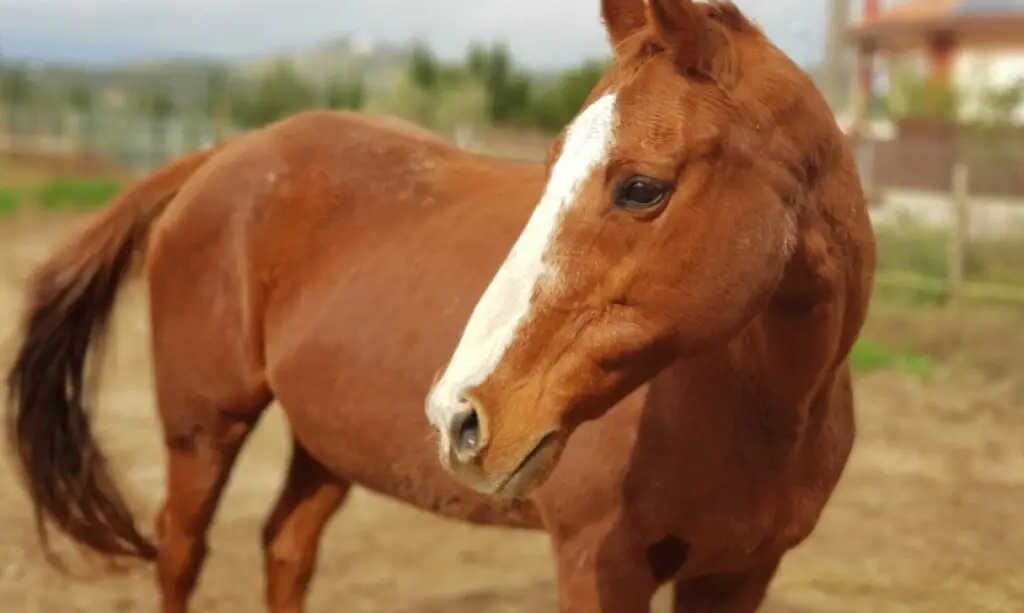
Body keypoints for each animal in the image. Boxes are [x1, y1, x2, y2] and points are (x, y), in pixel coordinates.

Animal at [4, 1, 876, 613]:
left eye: (640, 187)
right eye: (552, 165)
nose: (460, 414)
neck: (761, 406)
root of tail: (226, 154)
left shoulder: (738, 573)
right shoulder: (601, 560)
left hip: (325, 443)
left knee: (286, 546)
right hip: (203, 427)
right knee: (181, 551)